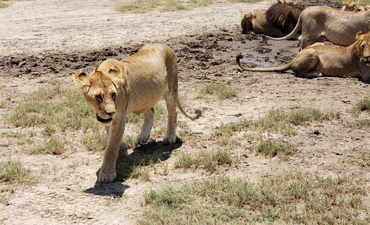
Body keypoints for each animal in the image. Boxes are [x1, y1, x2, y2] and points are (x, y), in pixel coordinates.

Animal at [74, 43, 201, 182]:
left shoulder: (120, 116)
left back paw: (170, 137)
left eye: (113, 94)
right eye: (98, 97)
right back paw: (143, 136)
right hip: (146, 97)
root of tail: (164, 45)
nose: (111, 112)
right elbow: (111, 138)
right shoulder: (109, 119)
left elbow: (111, 148)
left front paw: (107, 174)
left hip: (171, 88)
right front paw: (123, 148)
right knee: (151, 110)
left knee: (173, 113)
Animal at [237, 31, 370, 80]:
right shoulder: (365, 75)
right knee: (297, 72)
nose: (367, 57)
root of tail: (292, 59)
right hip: (312, 52)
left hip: (319, 43)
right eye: (363, 46)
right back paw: (316, 73)